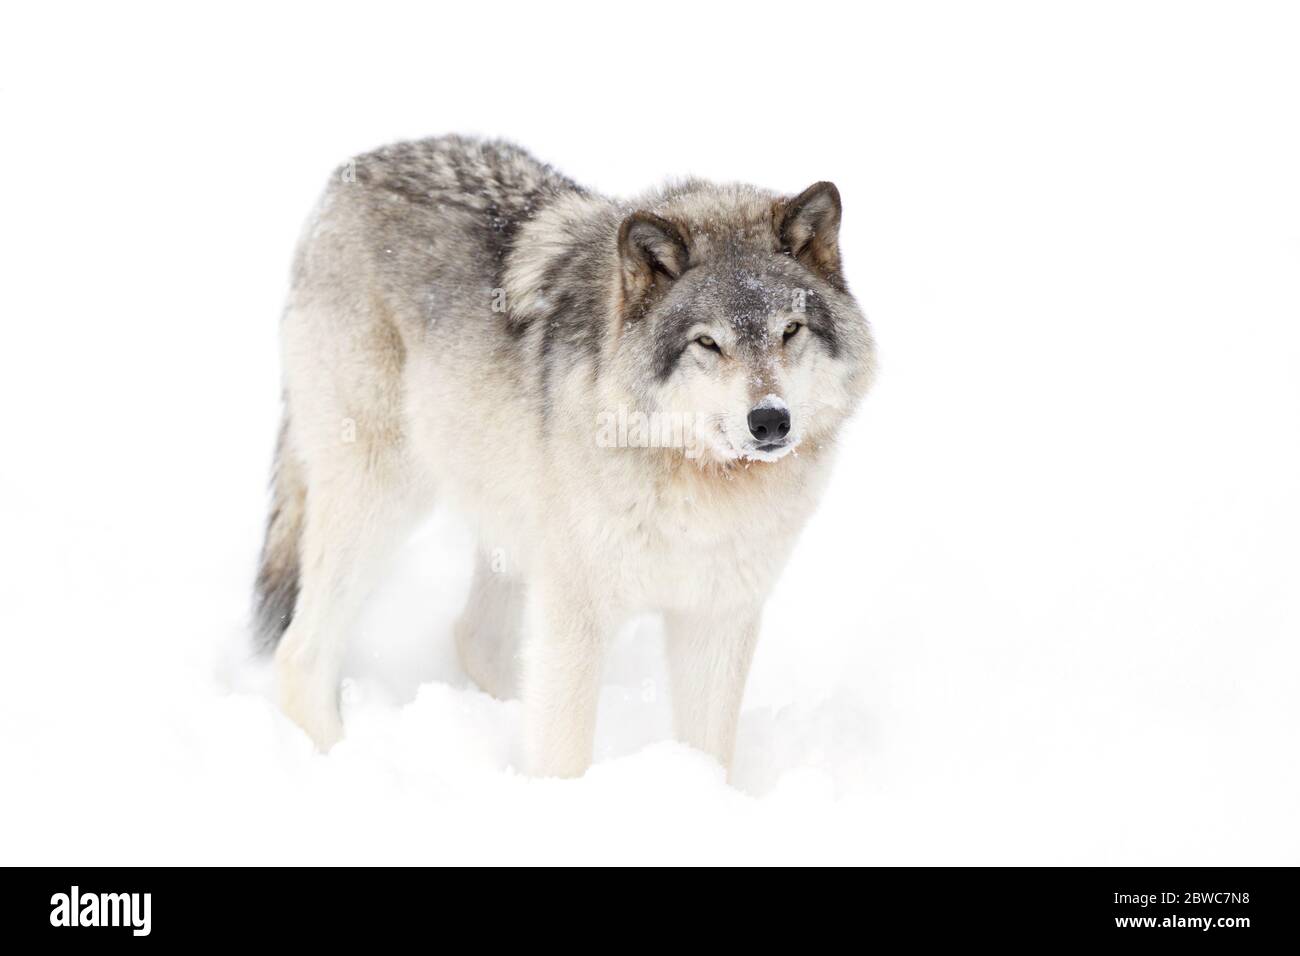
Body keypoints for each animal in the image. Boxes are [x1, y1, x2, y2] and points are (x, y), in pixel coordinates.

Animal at [253, 134, 873, 780]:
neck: (695, 475)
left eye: (790, 330)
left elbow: (707, 750)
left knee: (476, 639)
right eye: (708, 342)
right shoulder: (577, 613)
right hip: (383, 498)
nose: (770, 420)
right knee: (301, 653)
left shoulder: (717, 616)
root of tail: (352, 172)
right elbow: (565, 752)